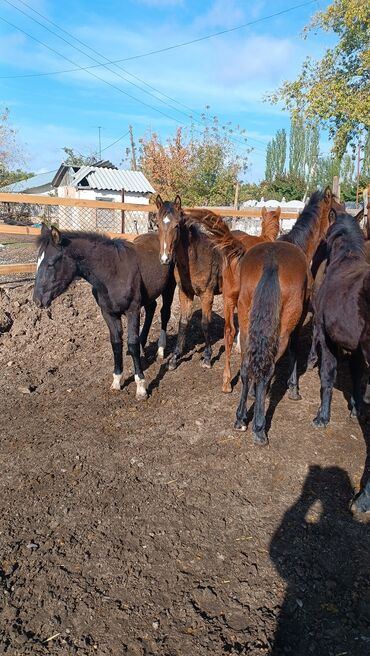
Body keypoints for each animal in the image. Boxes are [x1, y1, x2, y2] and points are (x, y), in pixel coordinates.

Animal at [154, 193, 223, 368]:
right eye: (157, 225)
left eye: (177, 225)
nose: (164, 259)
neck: (196, 258)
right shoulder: (185, 293)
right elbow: (183, 322)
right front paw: (174, 357)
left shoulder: (207, 294)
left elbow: (205, 323)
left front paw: (207, 357)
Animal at [312, 215, 370, 428]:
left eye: (324, 238)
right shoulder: (356, 347)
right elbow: (357, 373)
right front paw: (356, 408)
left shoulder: (326, 336)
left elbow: (328, 373)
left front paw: (322, 416)